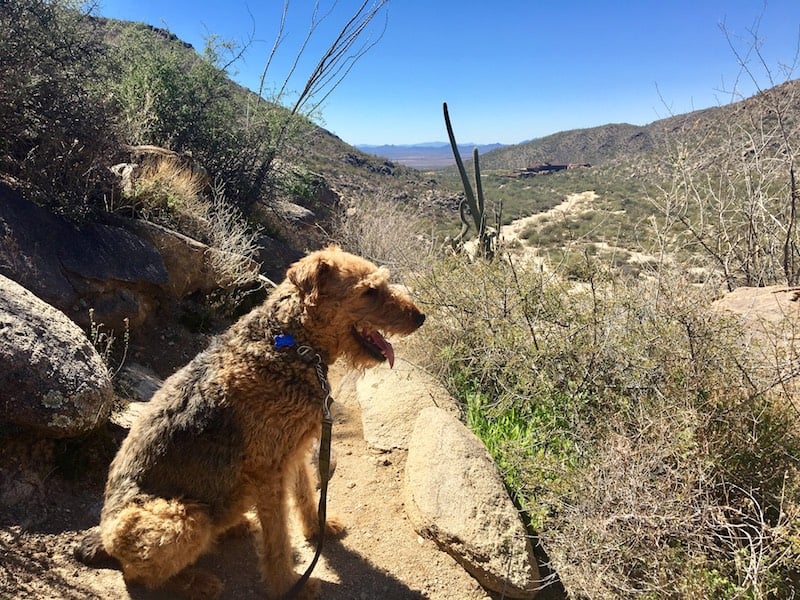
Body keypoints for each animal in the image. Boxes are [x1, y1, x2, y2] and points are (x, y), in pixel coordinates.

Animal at [75, 246, 424, 596]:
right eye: (370, 291)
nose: (420, 317)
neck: (292, 343)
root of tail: (103, 539)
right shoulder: (268, 470)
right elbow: (277, 538)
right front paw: (289, 586)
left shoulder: (295, 450)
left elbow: (306, 496)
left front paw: (318, 528)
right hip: (184, 518)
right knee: (141, 575)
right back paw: (199, 583)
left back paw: (234, 528)